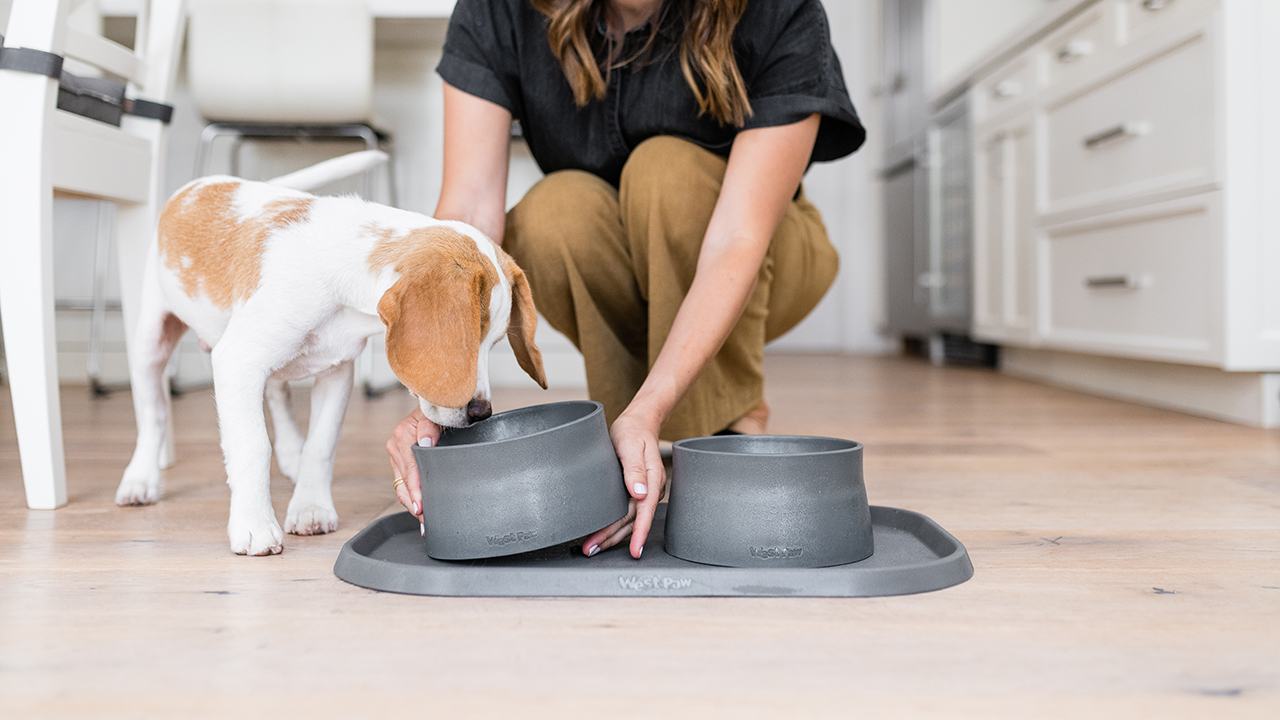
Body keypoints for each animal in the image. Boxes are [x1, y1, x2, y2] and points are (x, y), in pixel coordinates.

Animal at [113, 149, 545, 556]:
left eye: (495, 343)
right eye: (471, 339)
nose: (481, 413)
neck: (340, 287)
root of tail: (198, 186)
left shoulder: (336, 373)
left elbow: (320, 446)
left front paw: (310, 507)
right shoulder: (237, 361)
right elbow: (252, 445)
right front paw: (254, 525)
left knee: (278, 395)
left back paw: (290, 453)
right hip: (152, 341)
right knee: (153, 416)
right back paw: (140, 479)